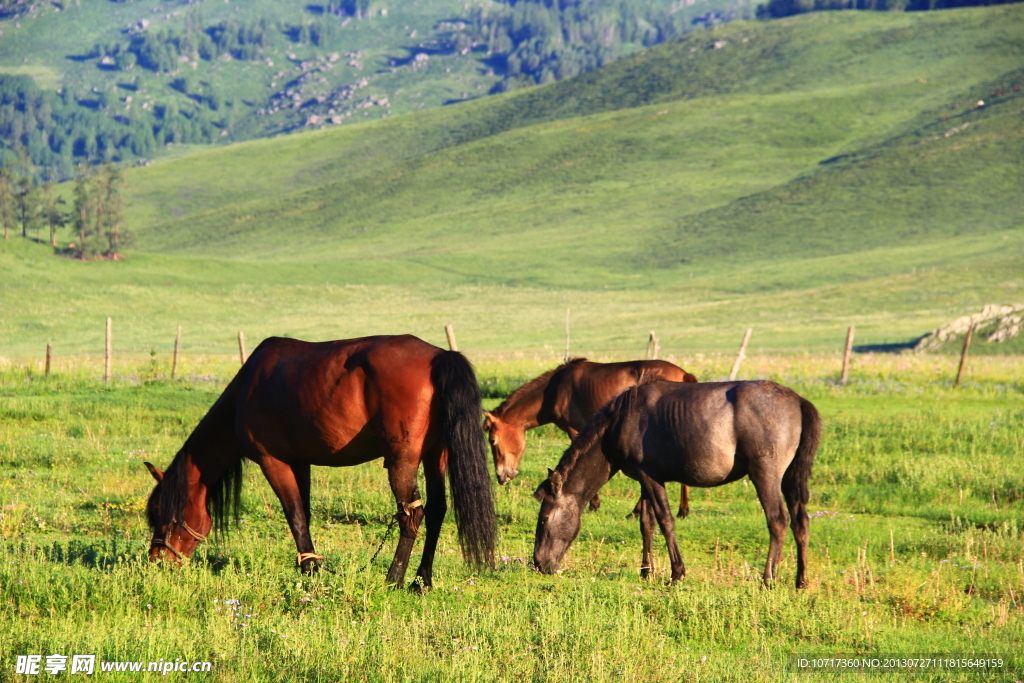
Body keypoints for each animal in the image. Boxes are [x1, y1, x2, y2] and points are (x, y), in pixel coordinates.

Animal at [143, 335, 495, 589]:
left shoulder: (274, 462)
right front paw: (310, 564)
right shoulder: (300, 462)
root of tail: (438, 356)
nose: (157, 561)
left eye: (164, 513)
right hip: (437, 454)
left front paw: (310, 569)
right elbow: (305, 513)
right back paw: (421, 581)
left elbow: (295, 516)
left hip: (403, 460)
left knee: (412, 515)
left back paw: (394, 579)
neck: (246, 391)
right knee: (436, 511)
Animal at [481, 360, 696, 516]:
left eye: (492, 441)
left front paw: (593, 504)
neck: (554, 389)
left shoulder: (574, 430)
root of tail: (684, 374)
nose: (501, 476)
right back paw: (679, 509)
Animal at [532, 378, 819, 589]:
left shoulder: (651, 478)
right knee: (800, 522)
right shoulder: (644, 480)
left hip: (765, 475)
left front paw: (676, 573)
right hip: (790, 478)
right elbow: (646, 524)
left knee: (778, 521)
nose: (538, 563)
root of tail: (798, 401)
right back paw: (801, 580)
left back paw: (768, 578)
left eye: (544, 519)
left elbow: (665, 521)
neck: (619, 423)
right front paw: (646, 571)